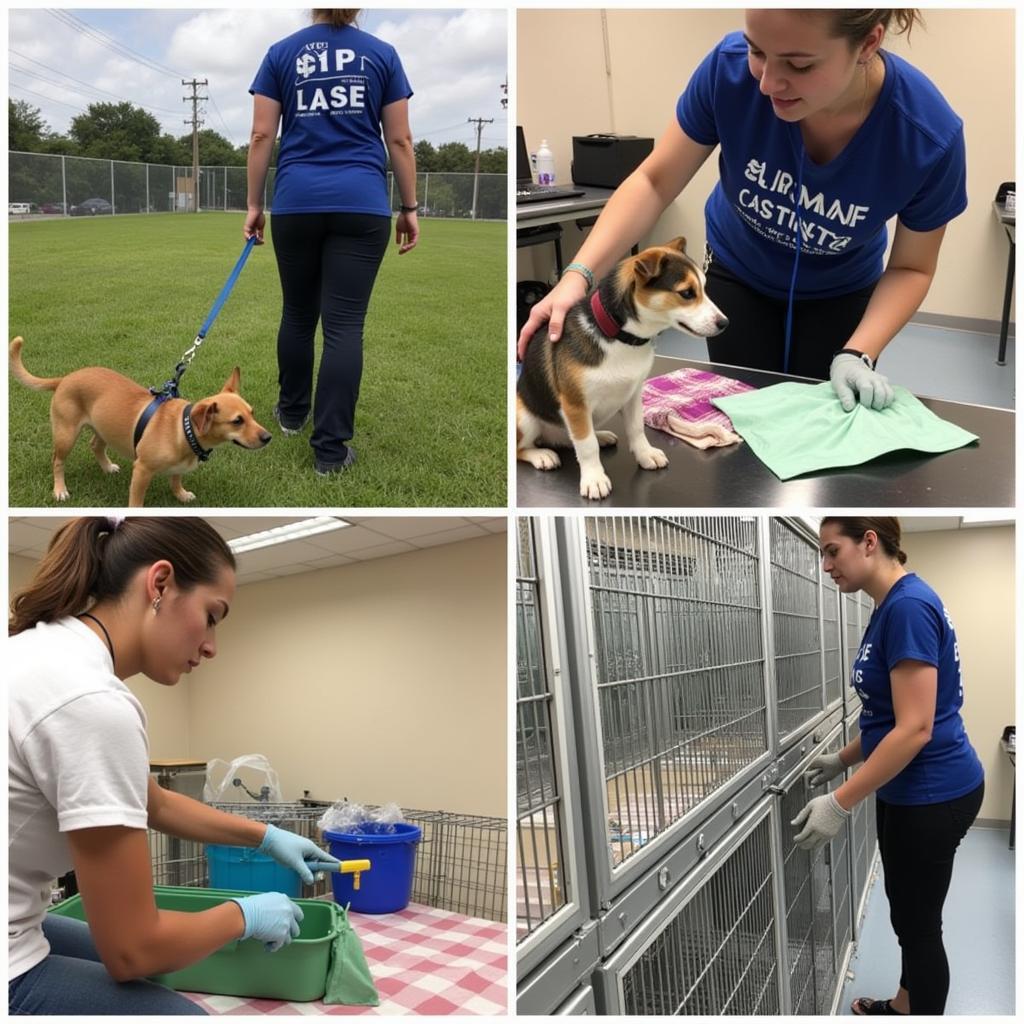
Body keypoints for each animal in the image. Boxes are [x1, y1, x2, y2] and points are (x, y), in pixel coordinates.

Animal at [516, 236, 724, 499]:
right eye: (687, 293)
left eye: (704, 288)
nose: (725, 323)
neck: (621, 339)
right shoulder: (575, 405)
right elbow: (586, 446)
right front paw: (594, 478)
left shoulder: (633, 395)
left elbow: (636, 429)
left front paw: (646, 454)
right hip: (525, 418)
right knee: (523, 448)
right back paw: (542, 455)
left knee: (571, 437)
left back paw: (600, 436)